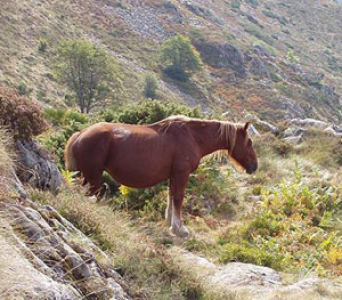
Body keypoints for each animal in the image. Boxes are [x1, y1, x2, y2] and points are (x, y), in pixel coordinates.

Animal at [65, 116, 256, 236]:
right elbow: (178, 199)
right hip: (93, 178)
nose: (254, 166)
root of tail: (80, 134)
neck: (192, 136)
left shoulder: (173, 177)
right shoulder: (181, 174)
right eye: (249, 142)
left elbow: (171, 198)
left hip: (86, 177)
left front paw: (171, 223)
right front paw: (179, 228)